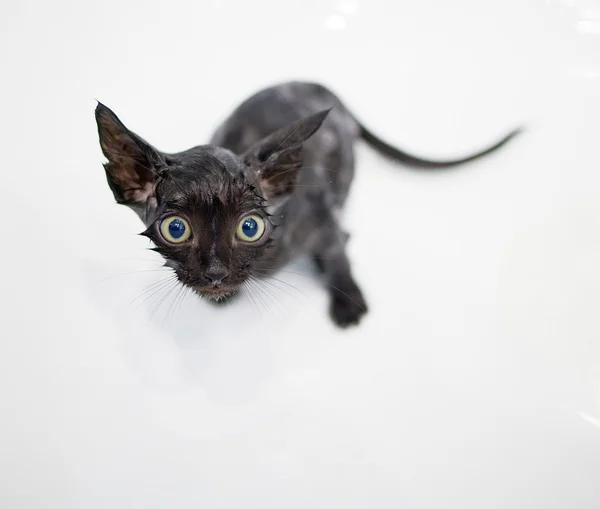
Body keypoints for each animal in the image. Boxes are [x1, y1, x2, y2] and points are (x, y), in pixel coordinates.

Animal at [95, 79, 520, 326]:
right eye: (176, 229)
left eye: (249, 227)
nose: (215, 273)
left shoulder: (323, 221)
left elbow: (338, 253)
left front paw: (348, 299)